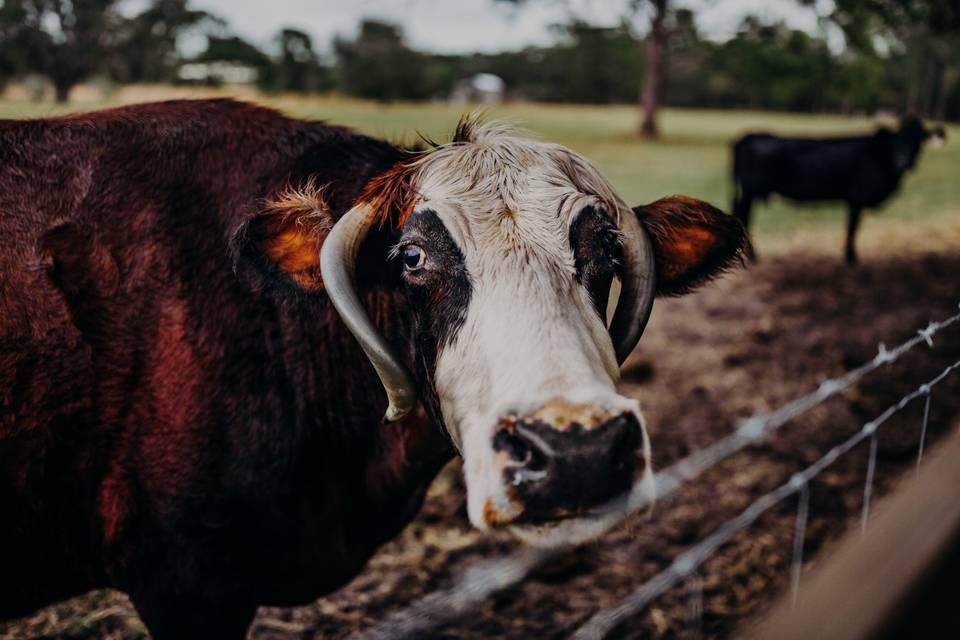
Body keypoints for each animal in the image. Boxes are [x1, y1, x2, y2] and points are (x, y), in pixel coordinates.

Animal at [736, 115, 944, 262]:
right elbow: (852, 229)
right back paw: (754, 256)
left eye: (919, 140)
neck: (878, 156)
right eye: (896, 140)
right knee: (745, 217)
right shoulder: (857, 199)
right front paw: (851, 258)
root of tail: (747, 137)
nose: (903, 161)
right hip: (749, 192)